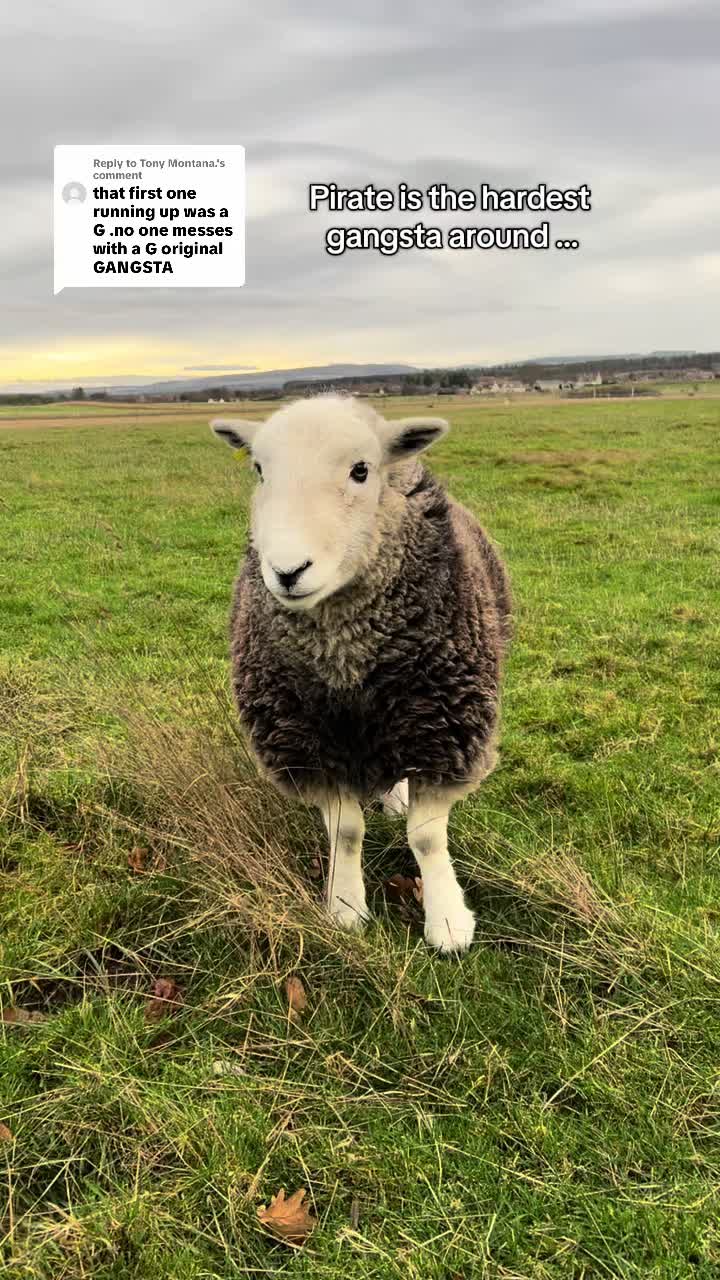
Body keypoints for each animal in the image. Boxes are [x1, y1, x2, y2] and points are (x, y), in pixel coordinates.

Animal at [211, 395, 511, 952]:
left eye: (360, 470)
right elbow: (345, 832)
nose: (288, 571)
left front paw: (447, 921)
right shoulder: (308, 741)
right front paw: (346, 907)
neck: (346, 657)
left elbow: (426, 837)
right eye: (259, 470)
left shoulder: (444, 730)